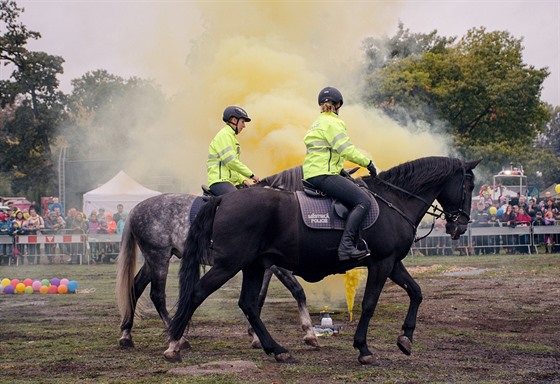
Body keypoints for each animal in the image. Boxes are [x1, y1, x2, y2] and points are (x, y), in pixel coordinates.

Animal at [115, 166, 318, 350]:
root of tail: (135, 209)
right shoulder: (274, 264)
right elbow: (296, 290)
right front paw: (308, 333)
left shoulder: (265, 266)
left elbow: (261, 297)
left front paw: (256, 336)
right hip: (158, 257)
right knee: (157, 296)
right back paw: (178, 339)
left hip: (155, 259)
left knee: (135, 287)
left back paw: (126, 335)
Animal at [164, 158, 480, 364]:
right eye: (470, 184)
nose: (460, 226)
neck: (394, 201)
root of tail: (224, 200)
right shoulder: (381, 264)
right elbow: (369, 304)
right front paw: (363, 349)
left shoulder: (392, 263)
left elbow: (416, 292)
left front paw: (406, 339)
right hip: (229, 265)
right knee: (197, 294)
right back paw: (174, 345)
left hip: (253, 266)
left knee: (249, 304)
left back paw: (277, 349)